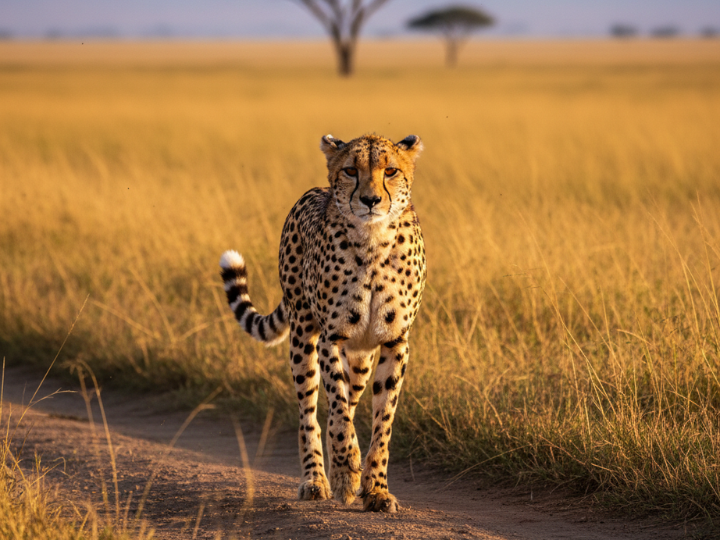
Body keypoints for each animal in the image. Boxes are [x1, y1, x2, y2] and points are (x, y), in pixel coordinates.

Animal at [219, 133, 426, 513]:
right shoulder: (333, 336)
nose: (370, 200)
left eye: (390, 170)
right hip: (303, 335)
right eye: (350, 170)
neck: (373, 240)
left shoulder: (395, 342)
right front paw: (346, 472)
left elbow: (382, 422)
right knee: (311, 412)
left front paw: (375, 489)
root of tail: (313, 191)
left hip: (360, 359)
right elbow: (340, 415)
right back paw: (317, 479)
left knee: (347, 398)